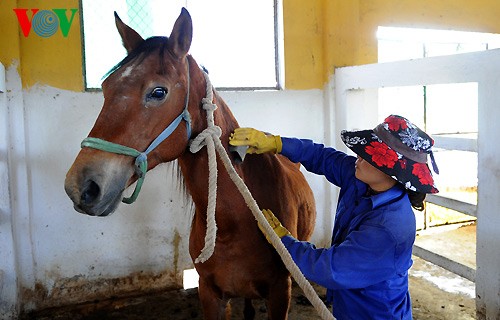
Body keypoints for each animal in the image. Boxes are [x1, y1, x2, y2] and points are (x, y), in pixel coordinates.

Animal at [64, 8, 314, 320]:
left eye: (158, 92)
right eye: (106, 87)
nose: (80, 186)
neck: (233, 221)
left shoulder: (281, 293)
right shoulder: (210, 294)